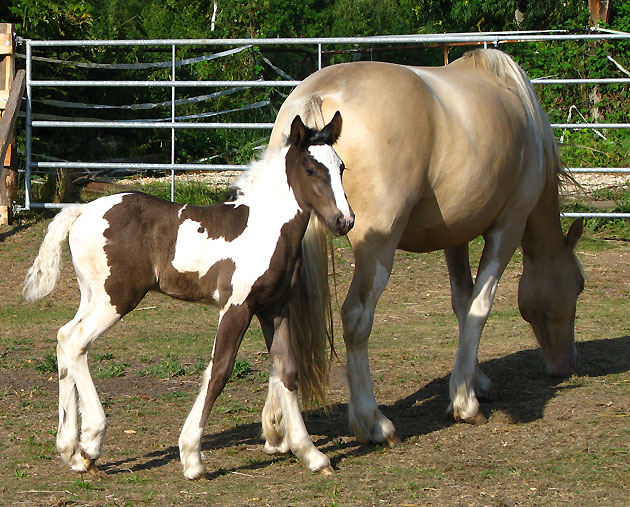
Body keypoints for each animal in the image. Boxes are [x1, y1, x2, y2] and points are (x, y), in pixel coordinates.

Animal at [23, 114, 356, 480]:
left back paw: (71, 449)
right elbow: (219, 371)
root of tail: (82, 211)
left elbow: (287, 370)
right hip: (116, 299)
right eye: (310, 170)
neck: (264, 228)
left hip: (93, 297)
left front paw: (311, 454)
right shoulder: (236, 307)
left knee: (64, 338)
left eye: (341, 167)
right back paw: (91, 441)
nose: (344, 220)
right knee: (76, 341)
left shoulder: (274, 308)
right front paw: (192, 457)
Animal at [268, 46, 588, 444]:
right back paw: (373, 422)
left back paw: (277, 429)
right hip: (377, 252)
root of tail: (319, 94)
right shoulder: (508, 227)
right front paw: (465, 403)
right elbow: (479, 306)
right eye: (579, 285)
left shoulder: (456, 235)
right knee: (356, 318)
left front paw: (475, 380)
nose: (568, 365)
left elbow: (462, 303)